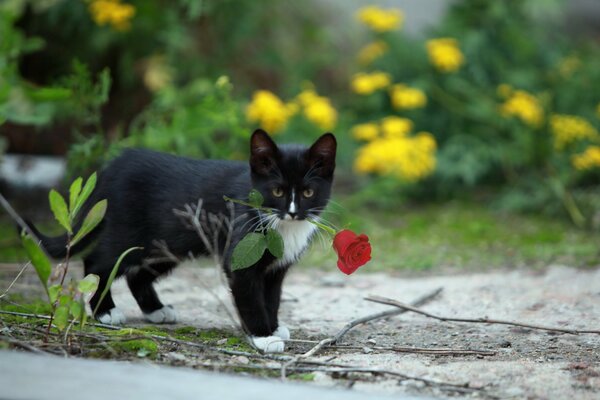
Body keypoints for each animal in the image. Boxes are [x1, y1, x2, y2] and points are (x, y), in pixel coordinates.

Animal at [28, 130, 336, 352]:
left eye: (308, 192)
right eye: (277, 191)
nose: (294, 212)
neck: (281, 226)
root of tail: (116, 165)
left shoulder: (276, 268)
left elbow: (271, 297)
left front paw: (273, 327)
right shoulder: (240, 259)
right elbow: (251, 298)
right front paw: (263, 336)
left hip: (167, 244)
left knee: (137, 275)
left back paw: (156, 310)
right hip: (127, 232)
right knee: (97, 262)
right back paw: (106, 312)